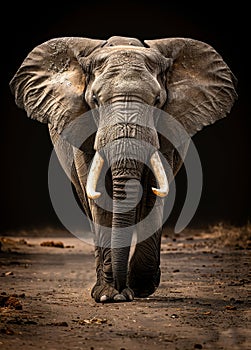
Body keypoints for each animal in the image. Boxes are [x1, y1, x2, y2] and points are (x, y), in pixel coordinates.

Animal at [9, 36, 237, 304]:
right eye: (95, 101)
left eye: (157, 102)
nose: (121, 291)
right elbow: (99, 196)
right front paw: (109, 296)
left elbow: (152, 193)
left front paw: (138, 288)